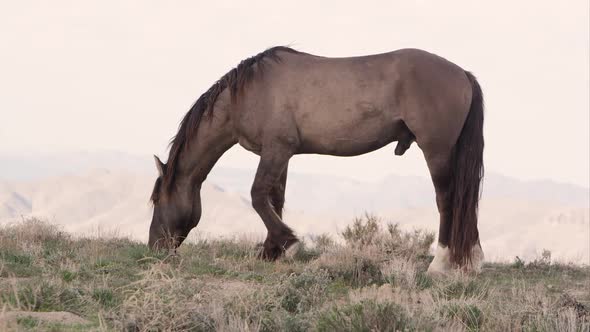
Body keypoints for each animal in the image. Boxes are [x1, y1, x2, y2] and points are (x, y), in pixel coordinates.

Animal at [150, 47, 488, 274]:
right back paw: (472, 260)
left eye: (155, 200)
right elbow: (275, 199)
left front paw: (288, 243)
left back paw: (440, 263)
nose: (154, 247)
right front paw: (272, 251)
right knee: (465, 200)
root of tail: (463, 74)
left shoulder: (276, 150)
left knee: (447, 200)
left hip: (436, 150)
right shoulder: (279, 154)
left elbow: (258, 196)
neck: (247, 94)